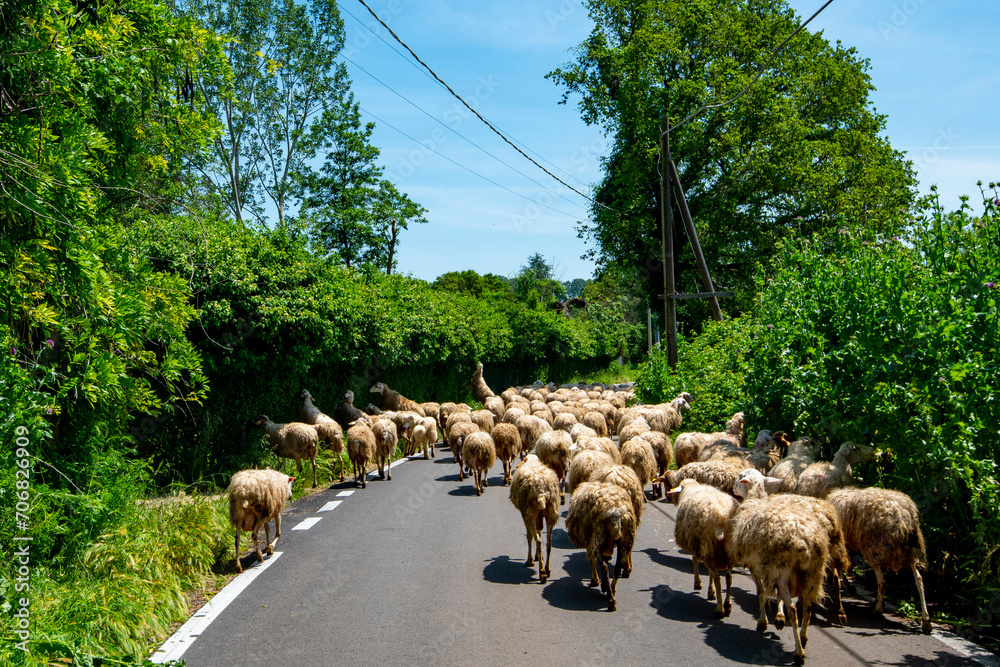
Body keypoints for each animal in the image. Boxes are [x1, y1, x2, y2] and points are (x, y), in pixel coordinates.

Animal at [509, 454, 561, 583]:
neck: (532, 461)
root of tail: (541, 490)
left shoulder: (525, 515)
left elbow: (530, 536)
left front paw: (531, 560)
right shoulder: (539, 516)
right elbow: (539, 531)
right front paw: (537, 556)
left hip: (530, 514)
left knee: (538, 540)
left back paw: (542, 573)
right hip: (551, 514)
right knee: (548, 543)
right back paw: (547, 569)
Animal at [565, 481, 638, 612]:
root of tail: (615, 513)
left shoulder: (590, 539)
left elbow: (592, 560)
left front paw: (595, 581)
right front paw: (603, 584)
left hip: (597, 536)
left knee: (603, 566)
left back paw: (610, 599)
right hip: (626, 540)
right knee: (618, 567)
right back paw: (612, 590)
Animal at [665, 478, 739, 618]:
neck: (691, 488)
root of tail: (721, 516)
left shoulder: (697, 547)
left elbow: (694, 561)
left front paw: (698, 584)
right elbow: (709, 574)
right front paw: (711, 592)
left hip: (708, 549)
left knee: (717, 578)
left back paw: (719, 610)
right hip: (730, 552)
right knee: (728, 578)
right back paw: (728, 605)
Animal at [729, 469, 848, 663]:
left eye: (740, 477)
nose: (733, 488)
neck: (756, 500)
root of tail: (807, 541)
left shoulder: (757, 567)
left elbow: (761, 593)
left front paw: (763, 622)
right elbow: (774, 596)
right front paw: (777, 618)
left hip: (784, 571)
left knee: (793, 610)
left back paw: (799, 653)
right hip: (813, 573)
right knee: (808, 606)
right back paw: (805, 637)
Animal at [827, 487, 931, 633]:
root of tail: (904, 518)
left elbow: (840, 569)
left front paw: (847, 585)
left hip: (874, 550)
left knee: (882, 580)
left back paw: (878, 609)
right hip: (911, 552)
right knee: (919, 580)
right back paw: (926, 621)